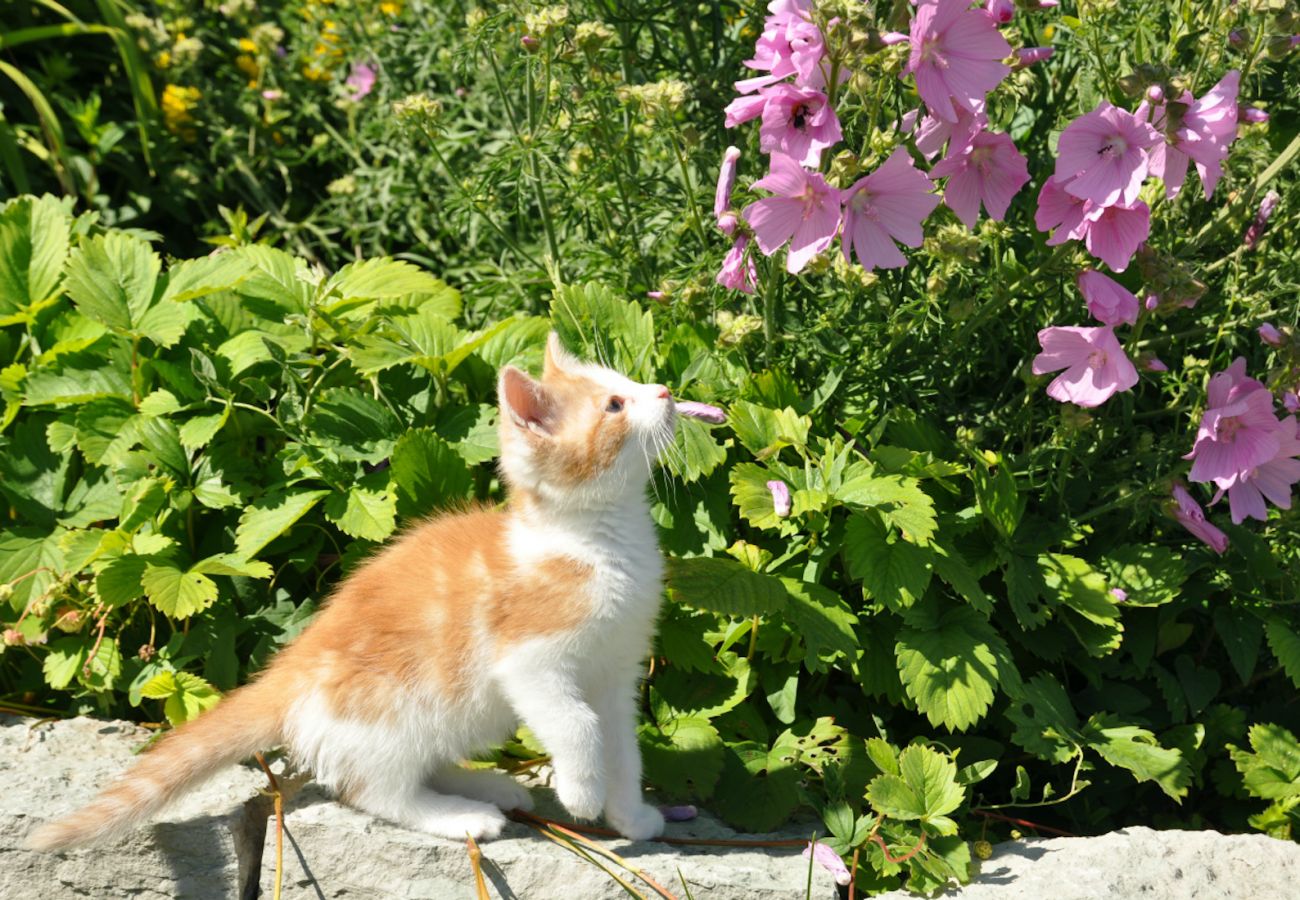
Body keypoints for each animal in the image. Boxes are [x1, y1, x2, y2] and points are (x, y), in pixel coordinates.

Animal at [30, 332, 681, 847]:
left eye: (626, 383)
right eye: (615, 405)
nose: (665, 393)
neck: (597, 543)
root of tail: (290, 671)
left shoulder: (616, 670)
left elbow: (622, 744)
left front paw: (631, 815)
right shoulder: (530, 661)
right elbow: (577, 724)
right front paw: (582, 793)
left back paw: (481, 783)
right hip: (398, 705)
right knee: (370, 787)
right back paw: (460, 815)